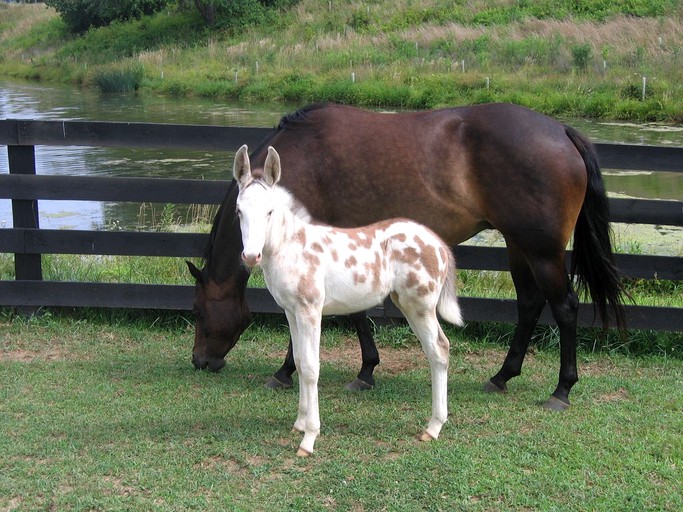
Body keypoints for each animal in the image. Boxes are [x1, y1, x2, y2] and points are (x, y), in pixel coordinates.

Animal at [186, 102, 624, 410]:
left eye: (197, 310)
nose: (200, 362)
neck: (298, 161)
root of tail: (561, 130)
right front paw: (365, 370)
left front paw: (288, 371)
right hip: (519, 246)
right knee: (530, 304)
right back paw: (502, 376)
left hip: (542, 251)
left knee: (564, 307)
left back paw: (561, 389)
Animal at [235, 144, 464, 456]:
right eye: (238, 211)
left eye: (269, 211)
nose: (250, 256)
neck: (291, 247)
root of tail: (439, 243)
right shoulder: (291, 311)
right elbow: (299, 360)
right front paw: (299, 423)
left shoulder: (310, 309)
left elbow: (311, 367)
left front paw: (309, 438)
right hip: (407, 304)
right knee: (435, 350)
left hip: (421, 305)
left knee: (439, 349)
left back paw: (434, 427)